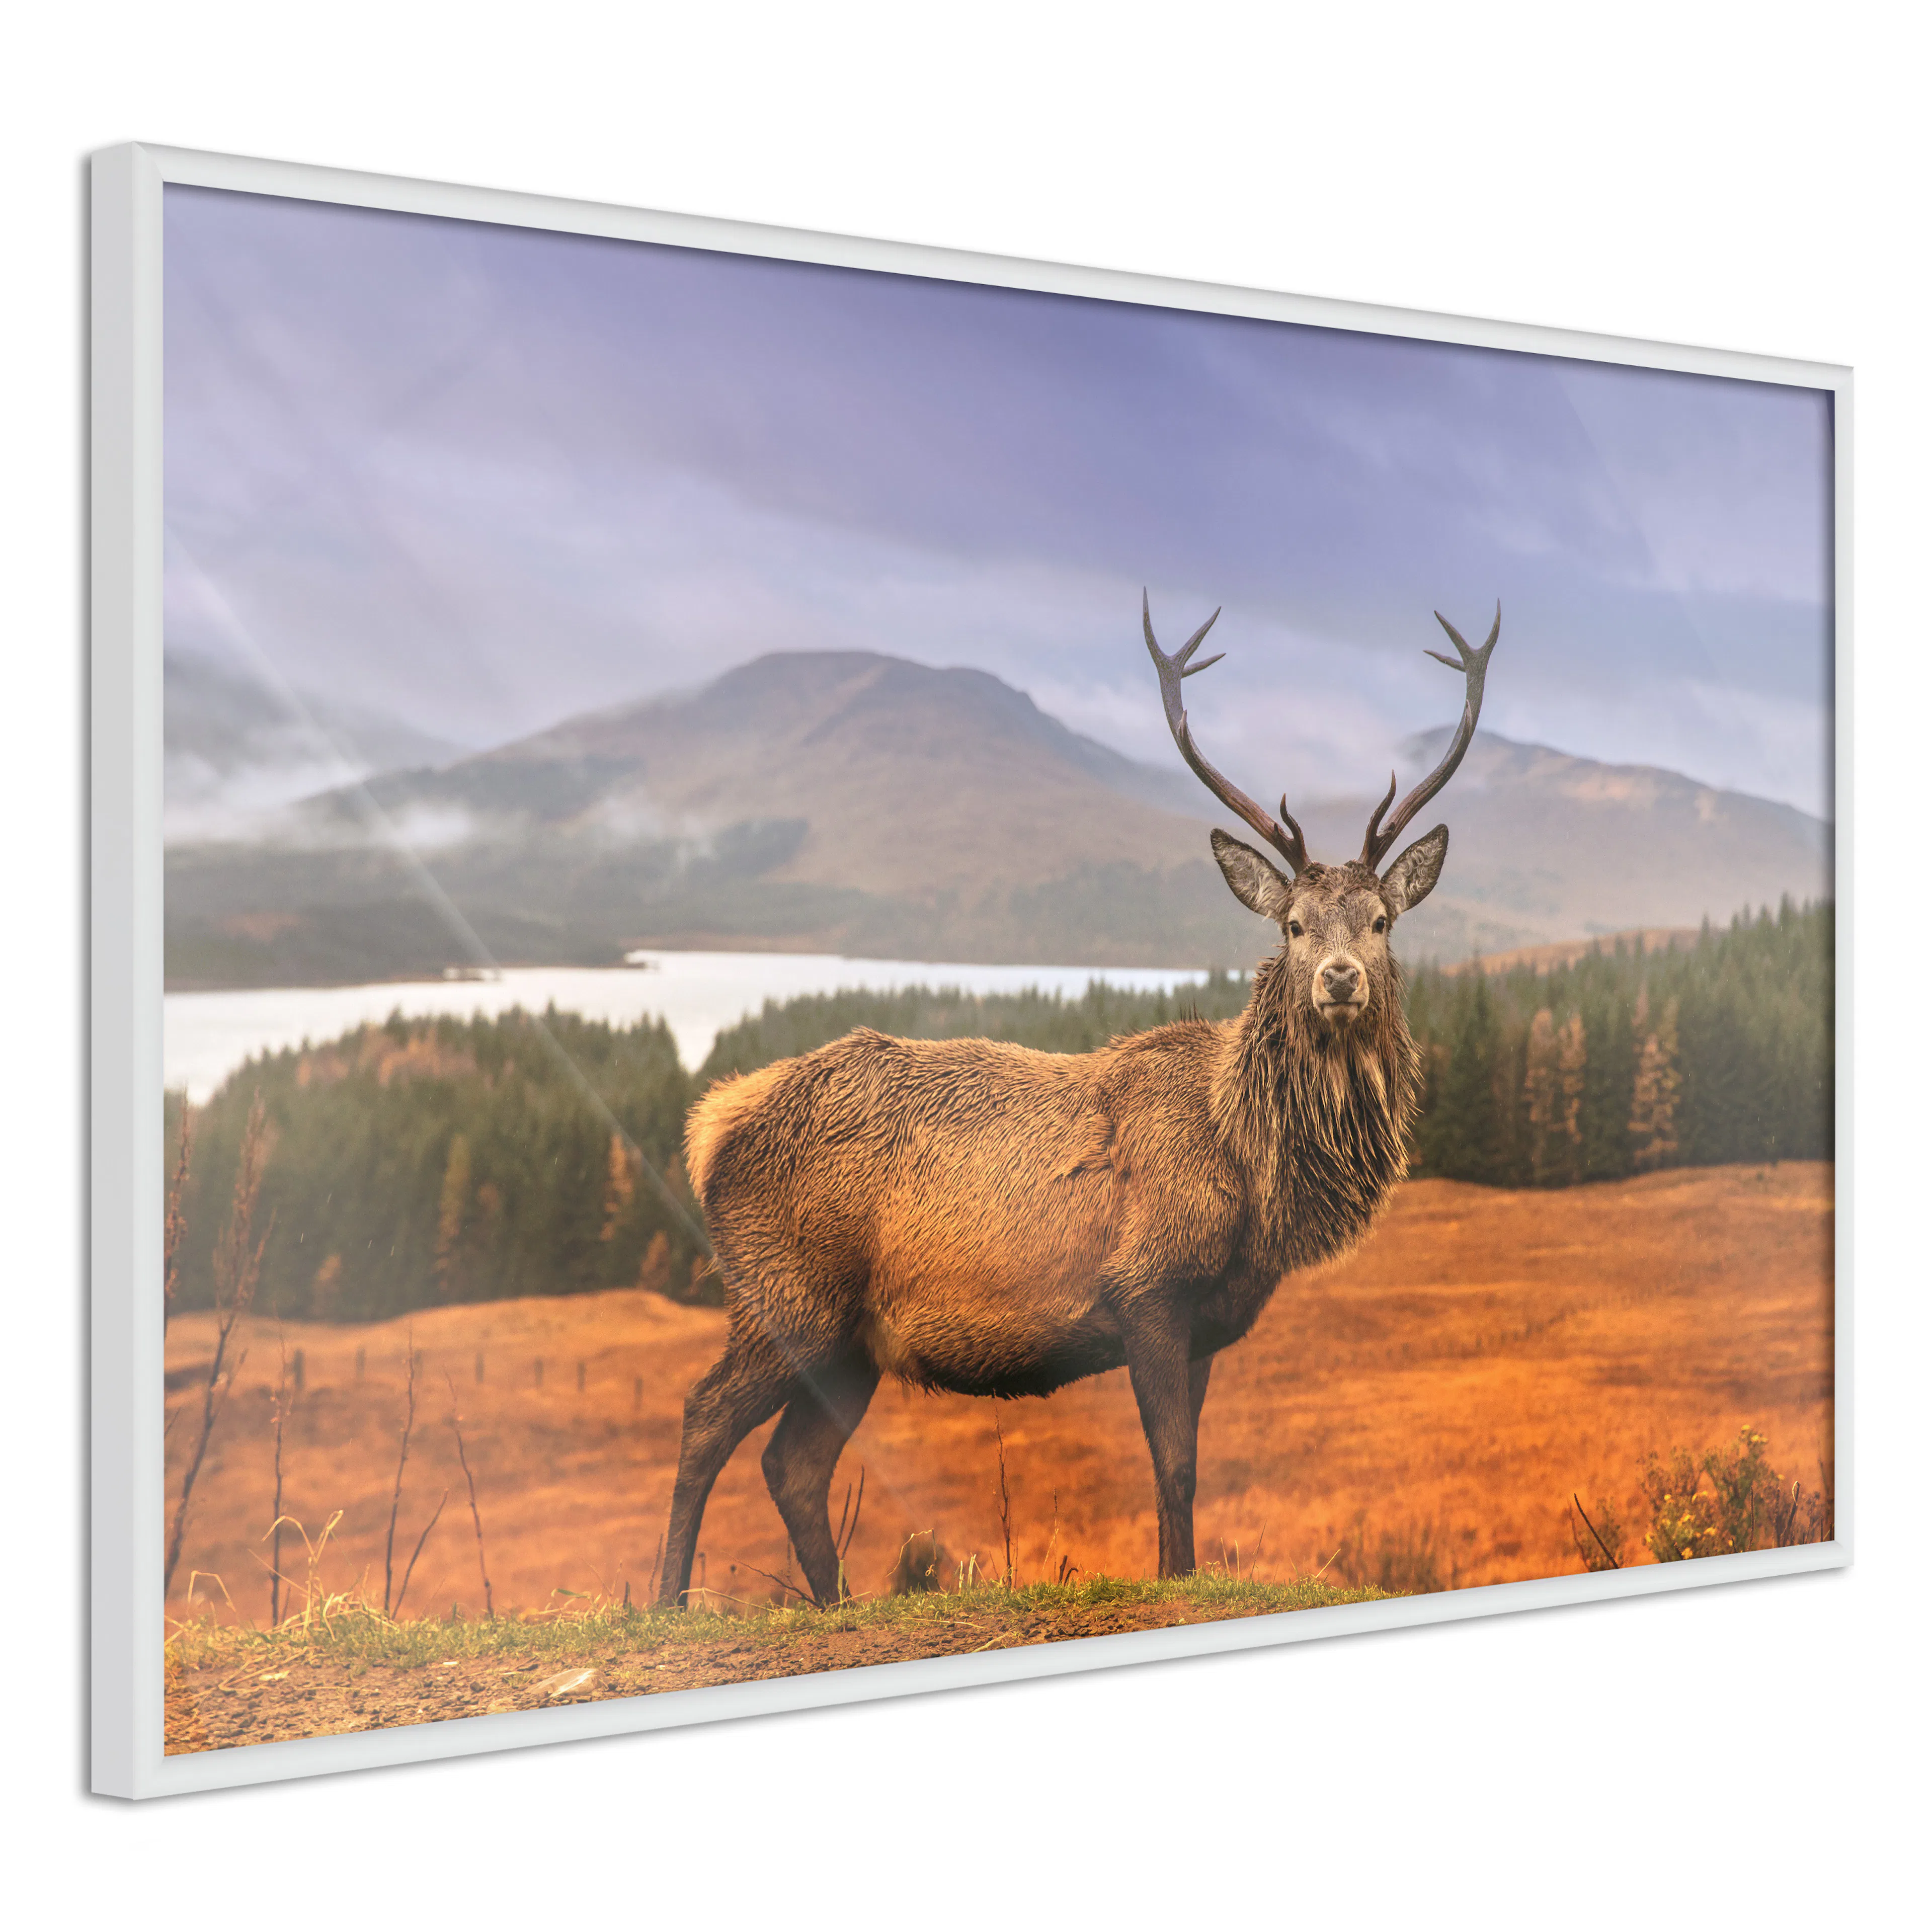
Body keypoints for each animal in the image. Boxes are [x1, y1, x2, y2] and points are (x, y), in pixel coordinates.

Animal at [658, 594, 1500, 1607]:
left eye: (1381, 921)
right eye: (1295, 926)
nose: (1340, 979)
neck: (1251, 1176)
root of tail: (712, 1126)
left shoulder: (1209, 1323)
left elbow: (1186, 1466)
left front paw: (1180, 1574)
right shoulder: (1147, 1287)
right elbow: (1172, 1462)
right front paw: (1175, 1581)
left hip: (852, 1344)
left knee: (793, 1464)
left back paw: (833, 1603)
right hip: (785, 1294)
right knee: (705, 1417)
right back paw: (661, 1601)